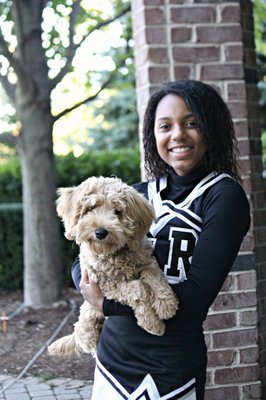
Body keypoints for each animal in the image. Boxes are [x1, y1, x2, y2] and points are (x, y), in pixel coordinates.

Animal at [48, 177, 177, 354]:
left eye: (117, 211)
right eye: (91, 208)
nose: (100, 232)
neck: (114, 255)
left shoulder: (146, 260)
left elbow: (153, 274)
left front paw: (166, 303)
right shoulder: (107, 285)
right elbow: (139, 287)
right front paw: (152, 323)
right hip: (88, 315)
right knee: (85, 329)